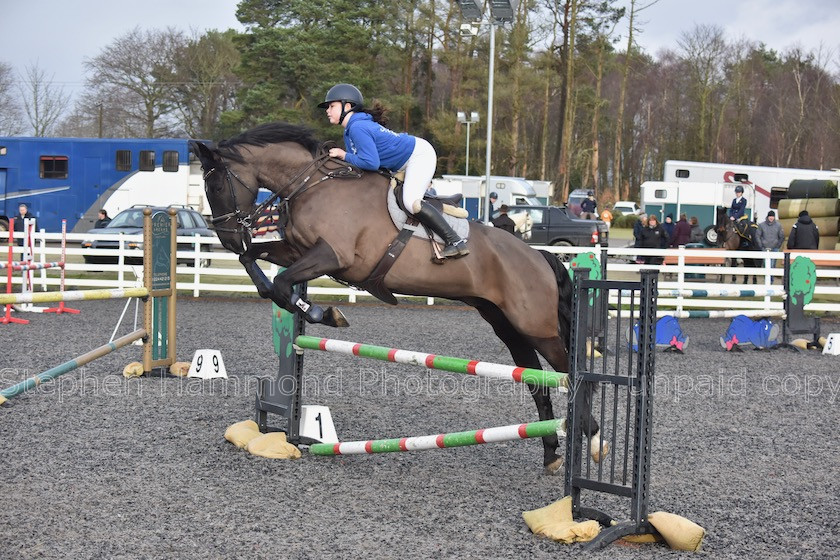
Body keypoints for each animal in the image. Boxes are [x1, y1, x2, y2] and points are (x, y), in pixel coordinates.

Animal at [189, 122, 600, 472]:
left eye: (217, 186)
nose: (227, 238)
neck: (312, 184)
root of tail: (539, 256)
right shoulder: (298, 250)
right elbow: (263, 274)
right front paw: (316, 310)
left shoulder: (333, 256)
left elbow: (281, 282)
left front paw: (322, 312)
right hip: (508, 326)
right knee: (538, 383)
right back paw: (552, 454)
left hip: (537, 327)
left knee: (571, 373)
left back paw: (594, 440)